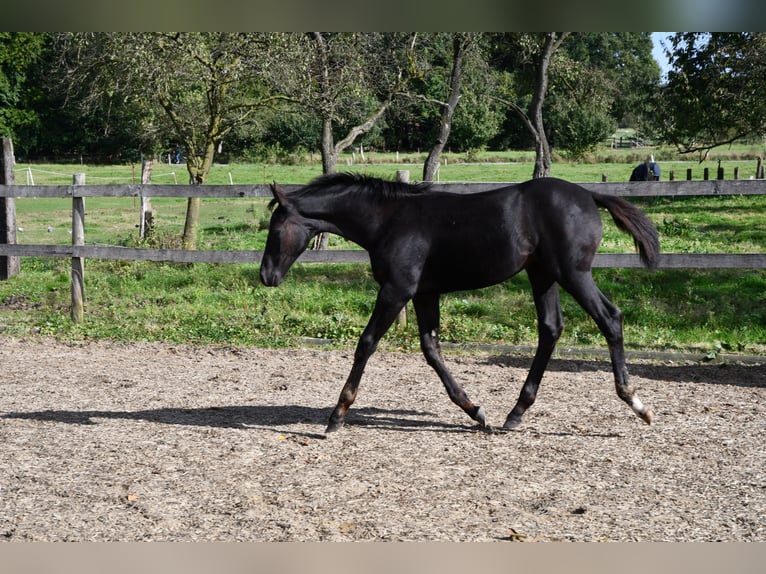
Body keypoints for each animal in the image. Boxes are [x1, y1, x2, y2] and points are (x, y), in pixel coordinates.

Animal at [260, 173, 664, 434]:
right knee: (550, 329)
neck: (389, 220)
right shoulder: (424, 293)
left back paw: (637, 403)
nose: (266, 276)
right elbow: (431, 349)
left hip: (573, 273)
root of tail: (589, 196)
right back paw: (514, 414)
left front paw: (337, 414)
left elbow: (367, 343)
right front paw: (476, 411)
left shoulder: (396, 290)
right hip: (543, 276)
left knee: (610, 318)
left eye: (275, 229)